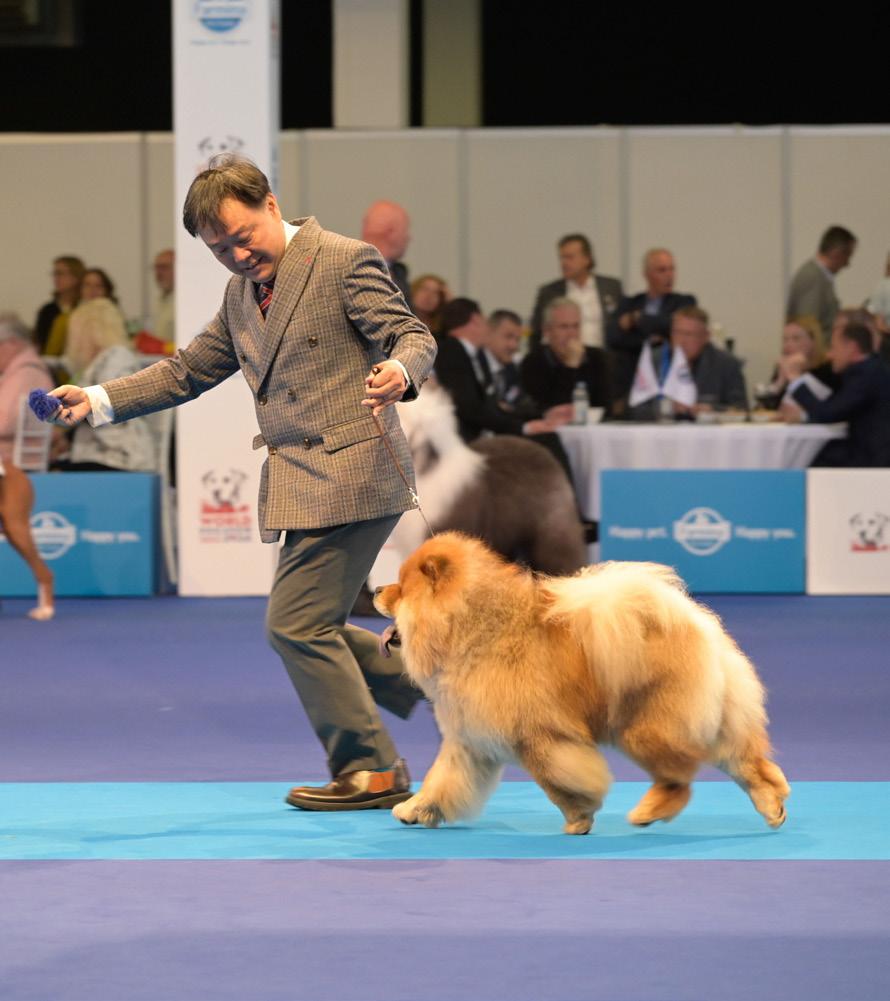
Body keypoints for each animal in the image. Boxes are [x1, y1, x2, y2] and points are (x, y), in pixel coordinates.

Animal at [374, 532, 790, 835]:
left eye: (401, 588)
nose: (376, 589)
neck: (475, 629)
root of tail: (693, 623)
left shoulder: (538, 738)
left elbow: (560, 782)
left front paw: (579, 820)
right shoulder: (469, 739)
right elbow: (442, 781)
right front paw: (412, 809)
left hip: (645, 728)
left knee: (679, 778)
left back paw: (648, 813)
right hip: (712, 722)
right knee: (747, 765)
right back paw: (773, 806)